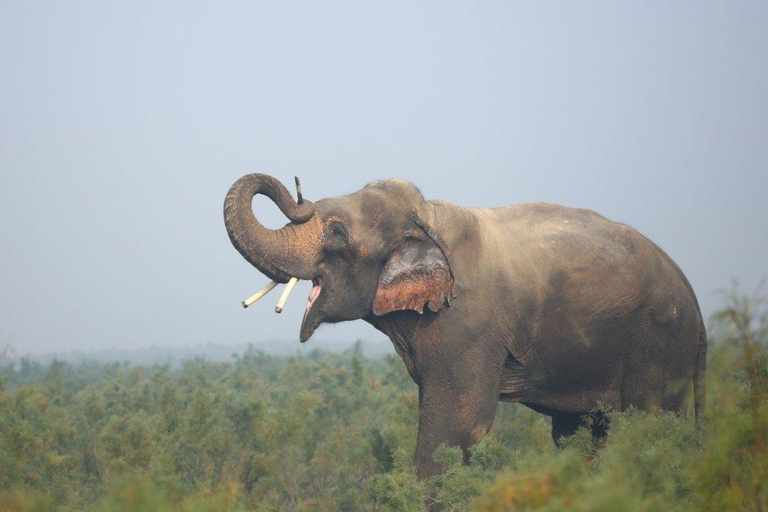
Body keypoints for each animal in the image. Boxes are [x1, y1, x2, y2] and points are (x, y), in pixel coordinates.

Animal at [223, 173, 707, 479]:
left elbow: (456, 428)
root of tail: (697, 307)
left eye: (338, 234)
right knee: (580, 434)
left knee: (652, 424)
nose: (300, 196)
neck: (427, 217)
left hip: (660, 342)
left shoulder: (467, 323)